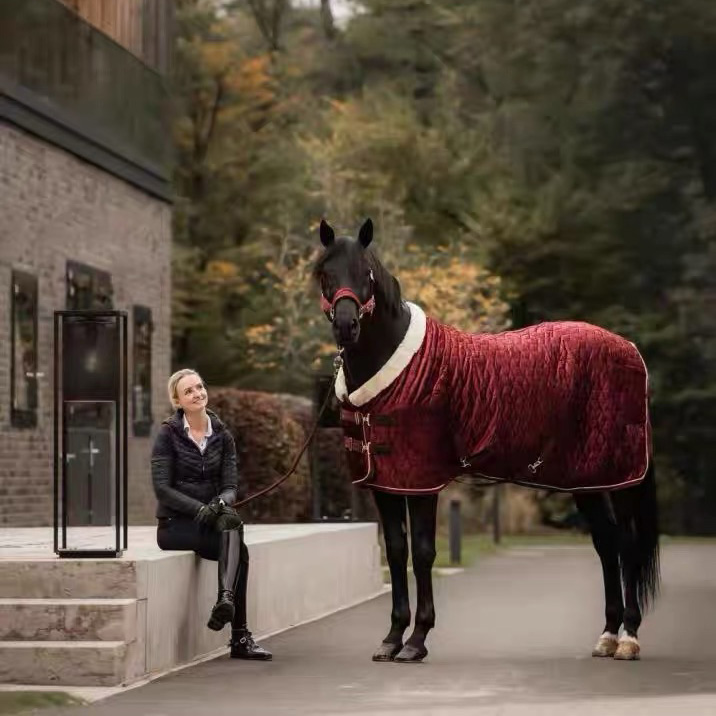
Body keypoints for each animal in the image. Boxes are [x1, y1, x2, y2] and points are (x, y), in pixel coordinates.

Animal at [312, 217, 660, 664]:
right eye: (325, 273)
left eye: (366, 273)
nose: (346, 325)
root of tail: (630, 349)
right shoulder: (385, 484)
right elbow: (395, 550)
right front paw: (391, 639)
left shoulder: (421, 481)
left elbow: (422, 552)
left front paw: (417, 641)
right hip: (589, 479)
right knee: (607, 542)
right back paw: (607, 636)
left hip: (622, 478)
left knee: (628, 544)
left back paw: (629, 638)